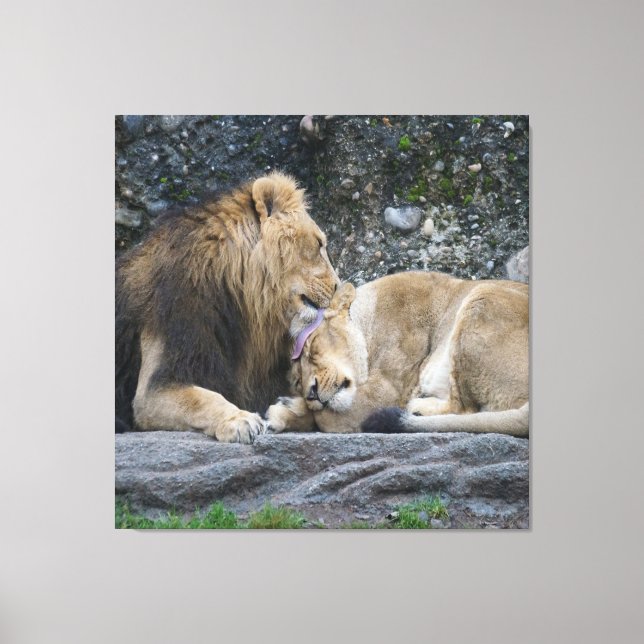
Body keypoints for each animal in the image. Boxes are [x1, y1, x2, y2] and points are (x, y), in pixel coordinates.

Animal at [116, 172, 339, 443]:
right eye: (318, 244)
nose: (338, 286)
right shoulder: (156, 385)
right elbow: (202, 399)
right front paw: (239, 420)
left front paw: (286, 410)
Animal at [266, 270, 529, 437]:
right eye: (297, 380)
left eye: (312, 349)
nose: (311, 393)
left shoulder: (386, 391)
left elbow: (324, 418)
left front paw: (287, 409)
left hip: (483, 296)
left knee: (465, 409)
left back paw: (416, 407)